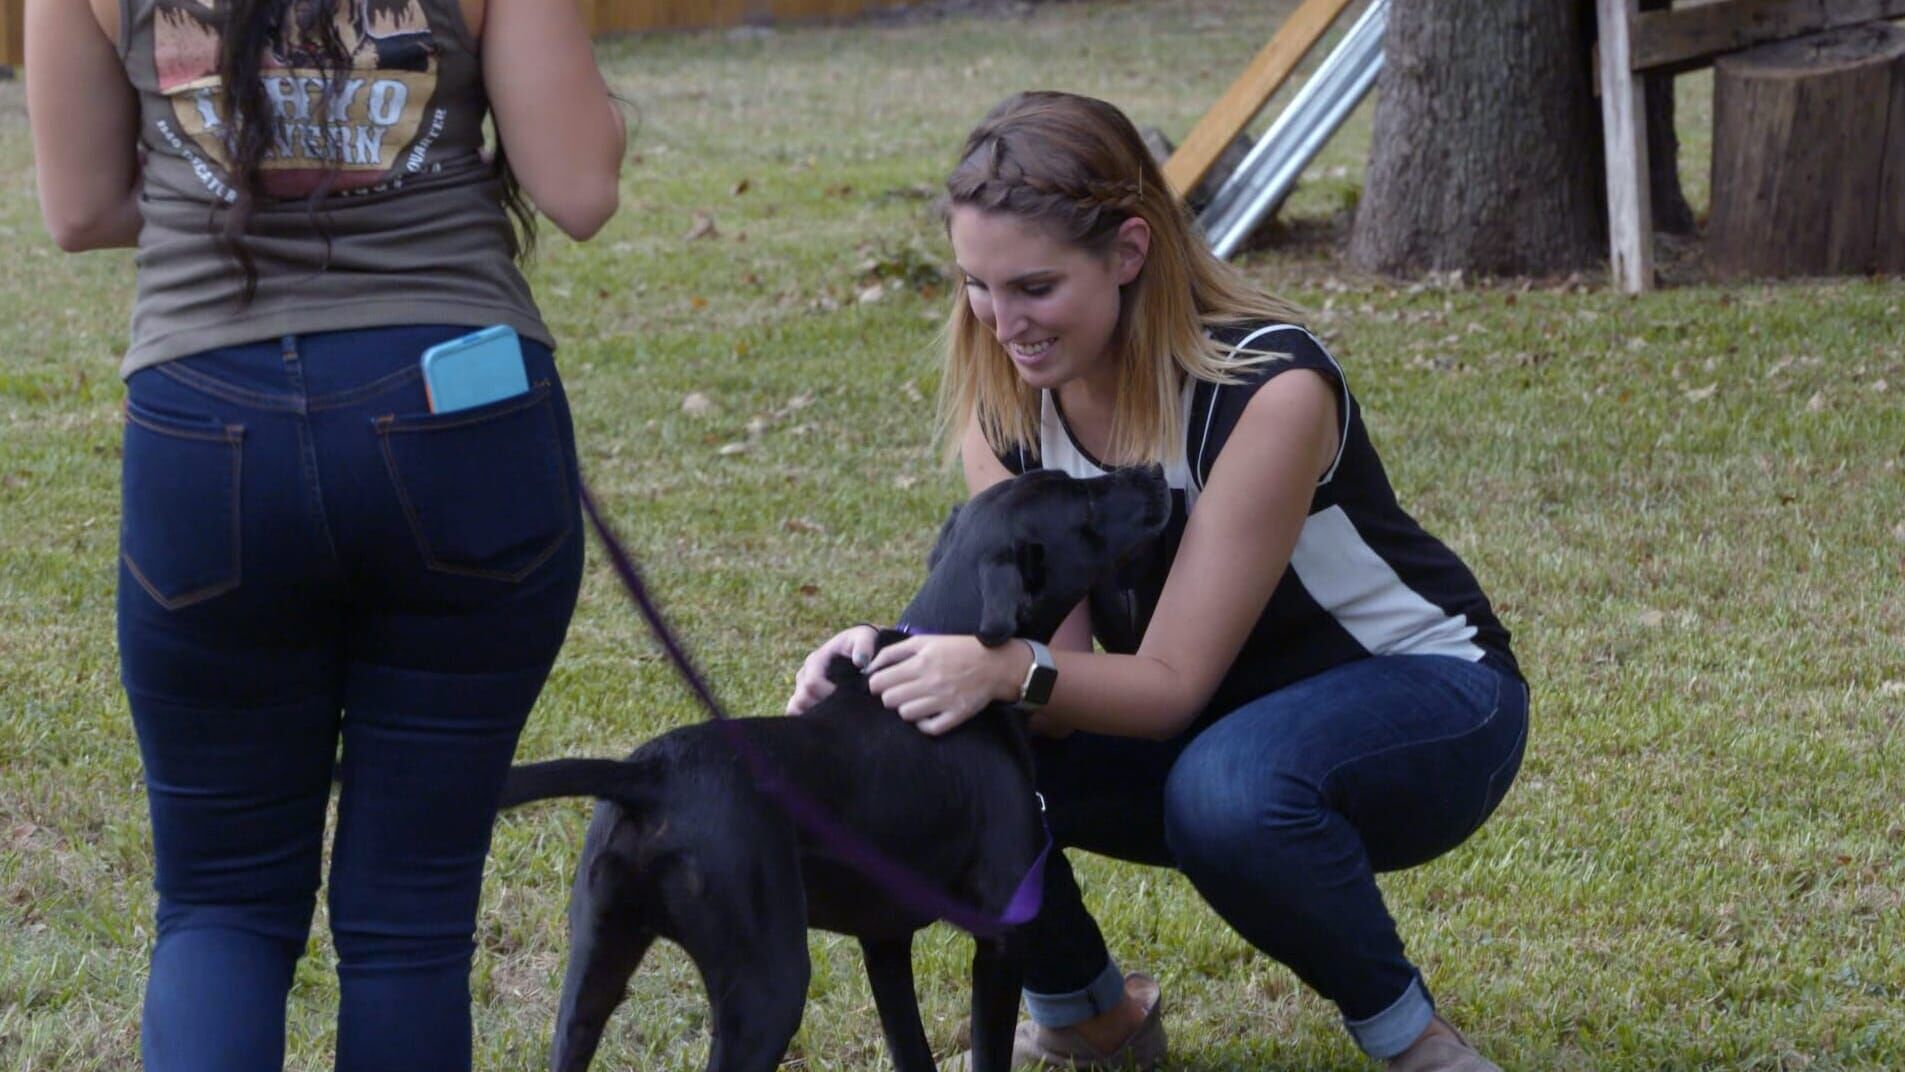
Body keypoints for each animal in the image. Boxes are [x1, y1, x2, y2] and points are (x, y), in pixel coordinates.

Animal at [499, 470, 1165, 1072]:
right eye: (1084, 501)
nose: (1156, 473)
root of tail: (648, 775)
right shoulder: (1002, 937)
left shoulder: (885, 940)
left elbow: (911, 1051)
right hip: (768, 988)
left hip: (592, 975)